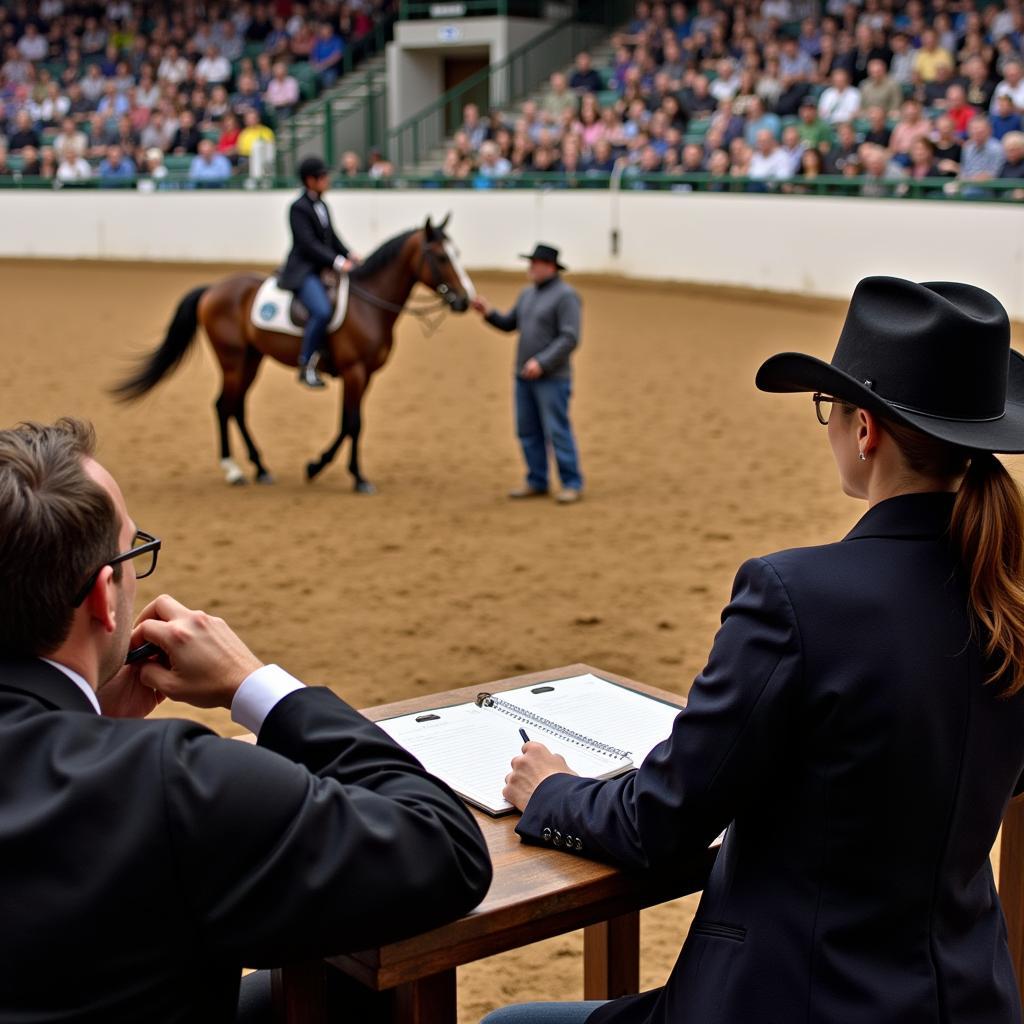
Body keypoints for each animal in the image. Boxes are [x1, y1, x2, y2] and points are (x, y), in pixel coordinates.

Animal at [114, 215, 473, 491]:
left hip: (251, 360)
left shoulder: (365, 374)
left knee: (236, 407)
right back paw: (233, 471)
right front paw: (348, 475)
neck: (368, 303)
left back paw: (260, 468)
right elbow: (352, 423)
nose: (465, 300)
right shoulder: (355, 371)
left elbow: (351, 423)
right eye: (442, 257)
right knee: (223, 406)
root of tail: (212, 289)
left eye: (457, 252)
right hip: (232, 360)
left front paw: (325, 467)